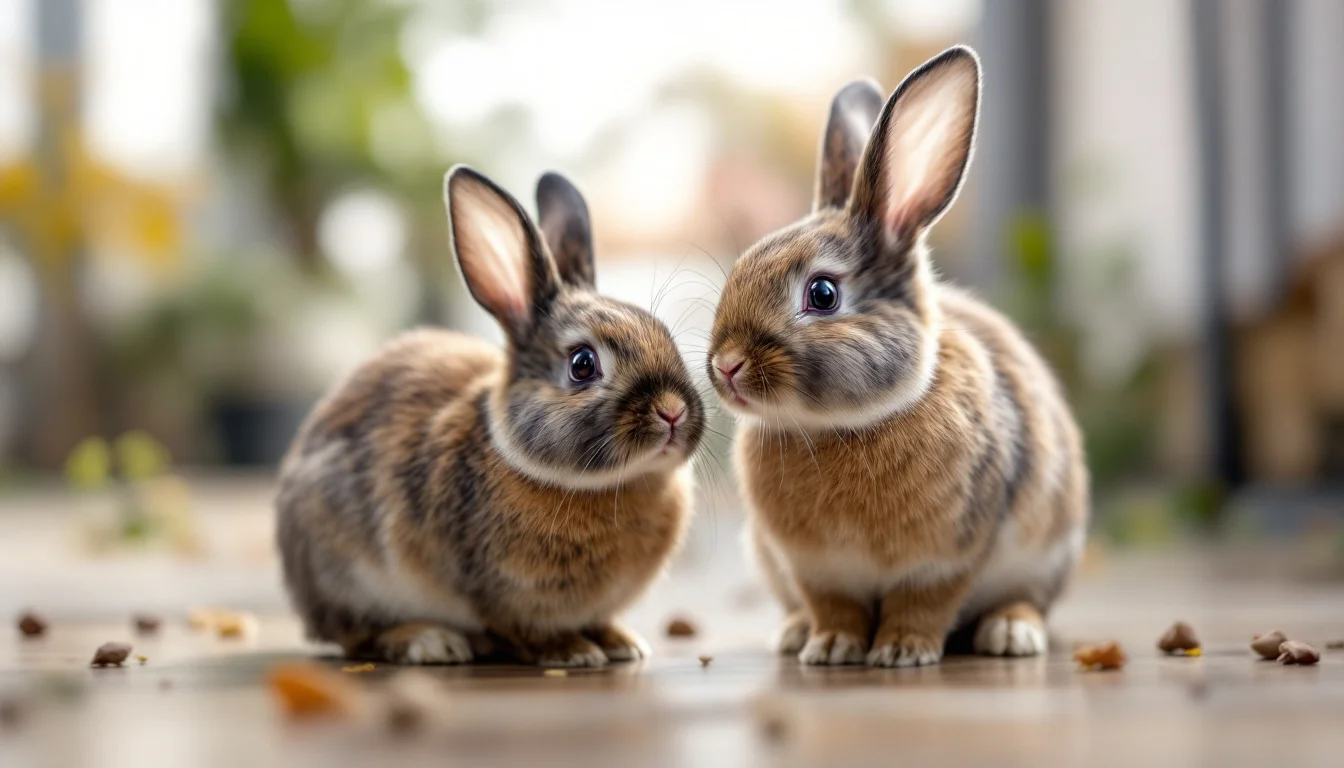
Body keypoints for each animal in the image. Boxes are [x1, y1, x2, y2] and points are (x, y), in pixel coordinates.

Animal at [275, 167, 705, 667]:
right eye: (582, 364)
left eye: (665, 335)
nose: (672, 411)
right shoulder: (498, 591)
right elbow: (524, 629)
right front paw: (572, 653)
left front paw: (621, 643)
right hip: (348, 574)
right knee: (357, 635)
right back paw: (432, 642)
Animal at [706, 46, 1089, 667]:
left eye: (822, 294)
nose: (725, 365)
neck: (844, 426)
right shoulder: (818, 570)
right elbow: (834, 606)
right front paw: (832, 647)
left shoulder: (944, 561)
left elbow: (924, 604)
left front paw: (902, 651)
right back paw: (794, 634)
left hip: (1047, 554)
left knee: (1028, 601)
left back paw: (1010, 633)